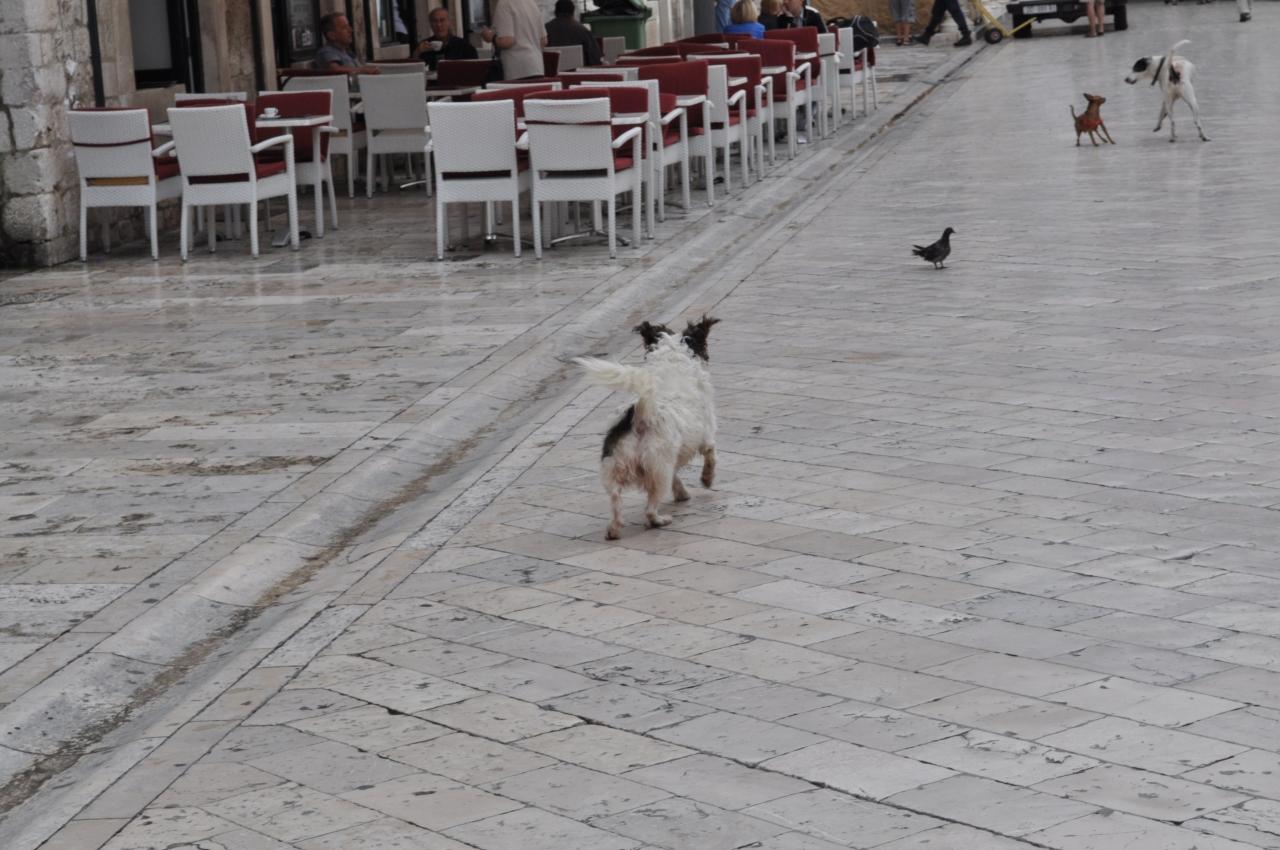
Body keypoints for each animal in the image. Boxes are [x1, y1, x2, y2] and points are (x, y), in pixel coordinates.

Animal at [575, 317, 719, 540]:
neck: (672, 365)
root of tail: (641, 415)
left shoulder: (670, 460)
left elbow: (676, 477)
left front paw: (682, 494)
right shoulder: (707, 437)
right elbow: (711, 457)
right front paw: (707, 480)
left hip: (617, 466)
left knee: (616, 500)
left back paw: (614, 529)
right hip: (658, 466)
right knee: (650, 509)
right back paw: (660, 520)